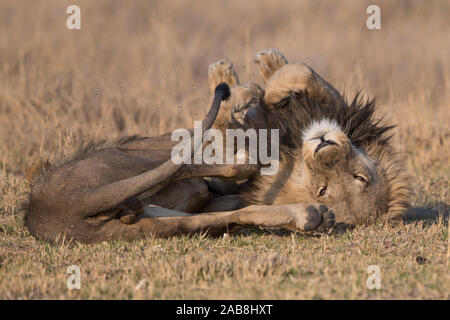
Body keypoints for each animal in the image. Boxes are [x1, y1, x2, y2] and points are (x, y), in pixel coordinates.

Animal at [25, 48, 412, 242]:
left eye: (355, 179)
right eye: (324, 188)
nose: (322, 147)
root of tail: (45, 210)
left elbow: (234, 110)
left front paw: (240, 85)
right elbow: (304, 73)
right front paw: (264, 72)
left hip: (147, 164)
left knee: (215, 168)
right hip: (164, 220)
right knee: (229, 213)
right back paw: (309, 217)